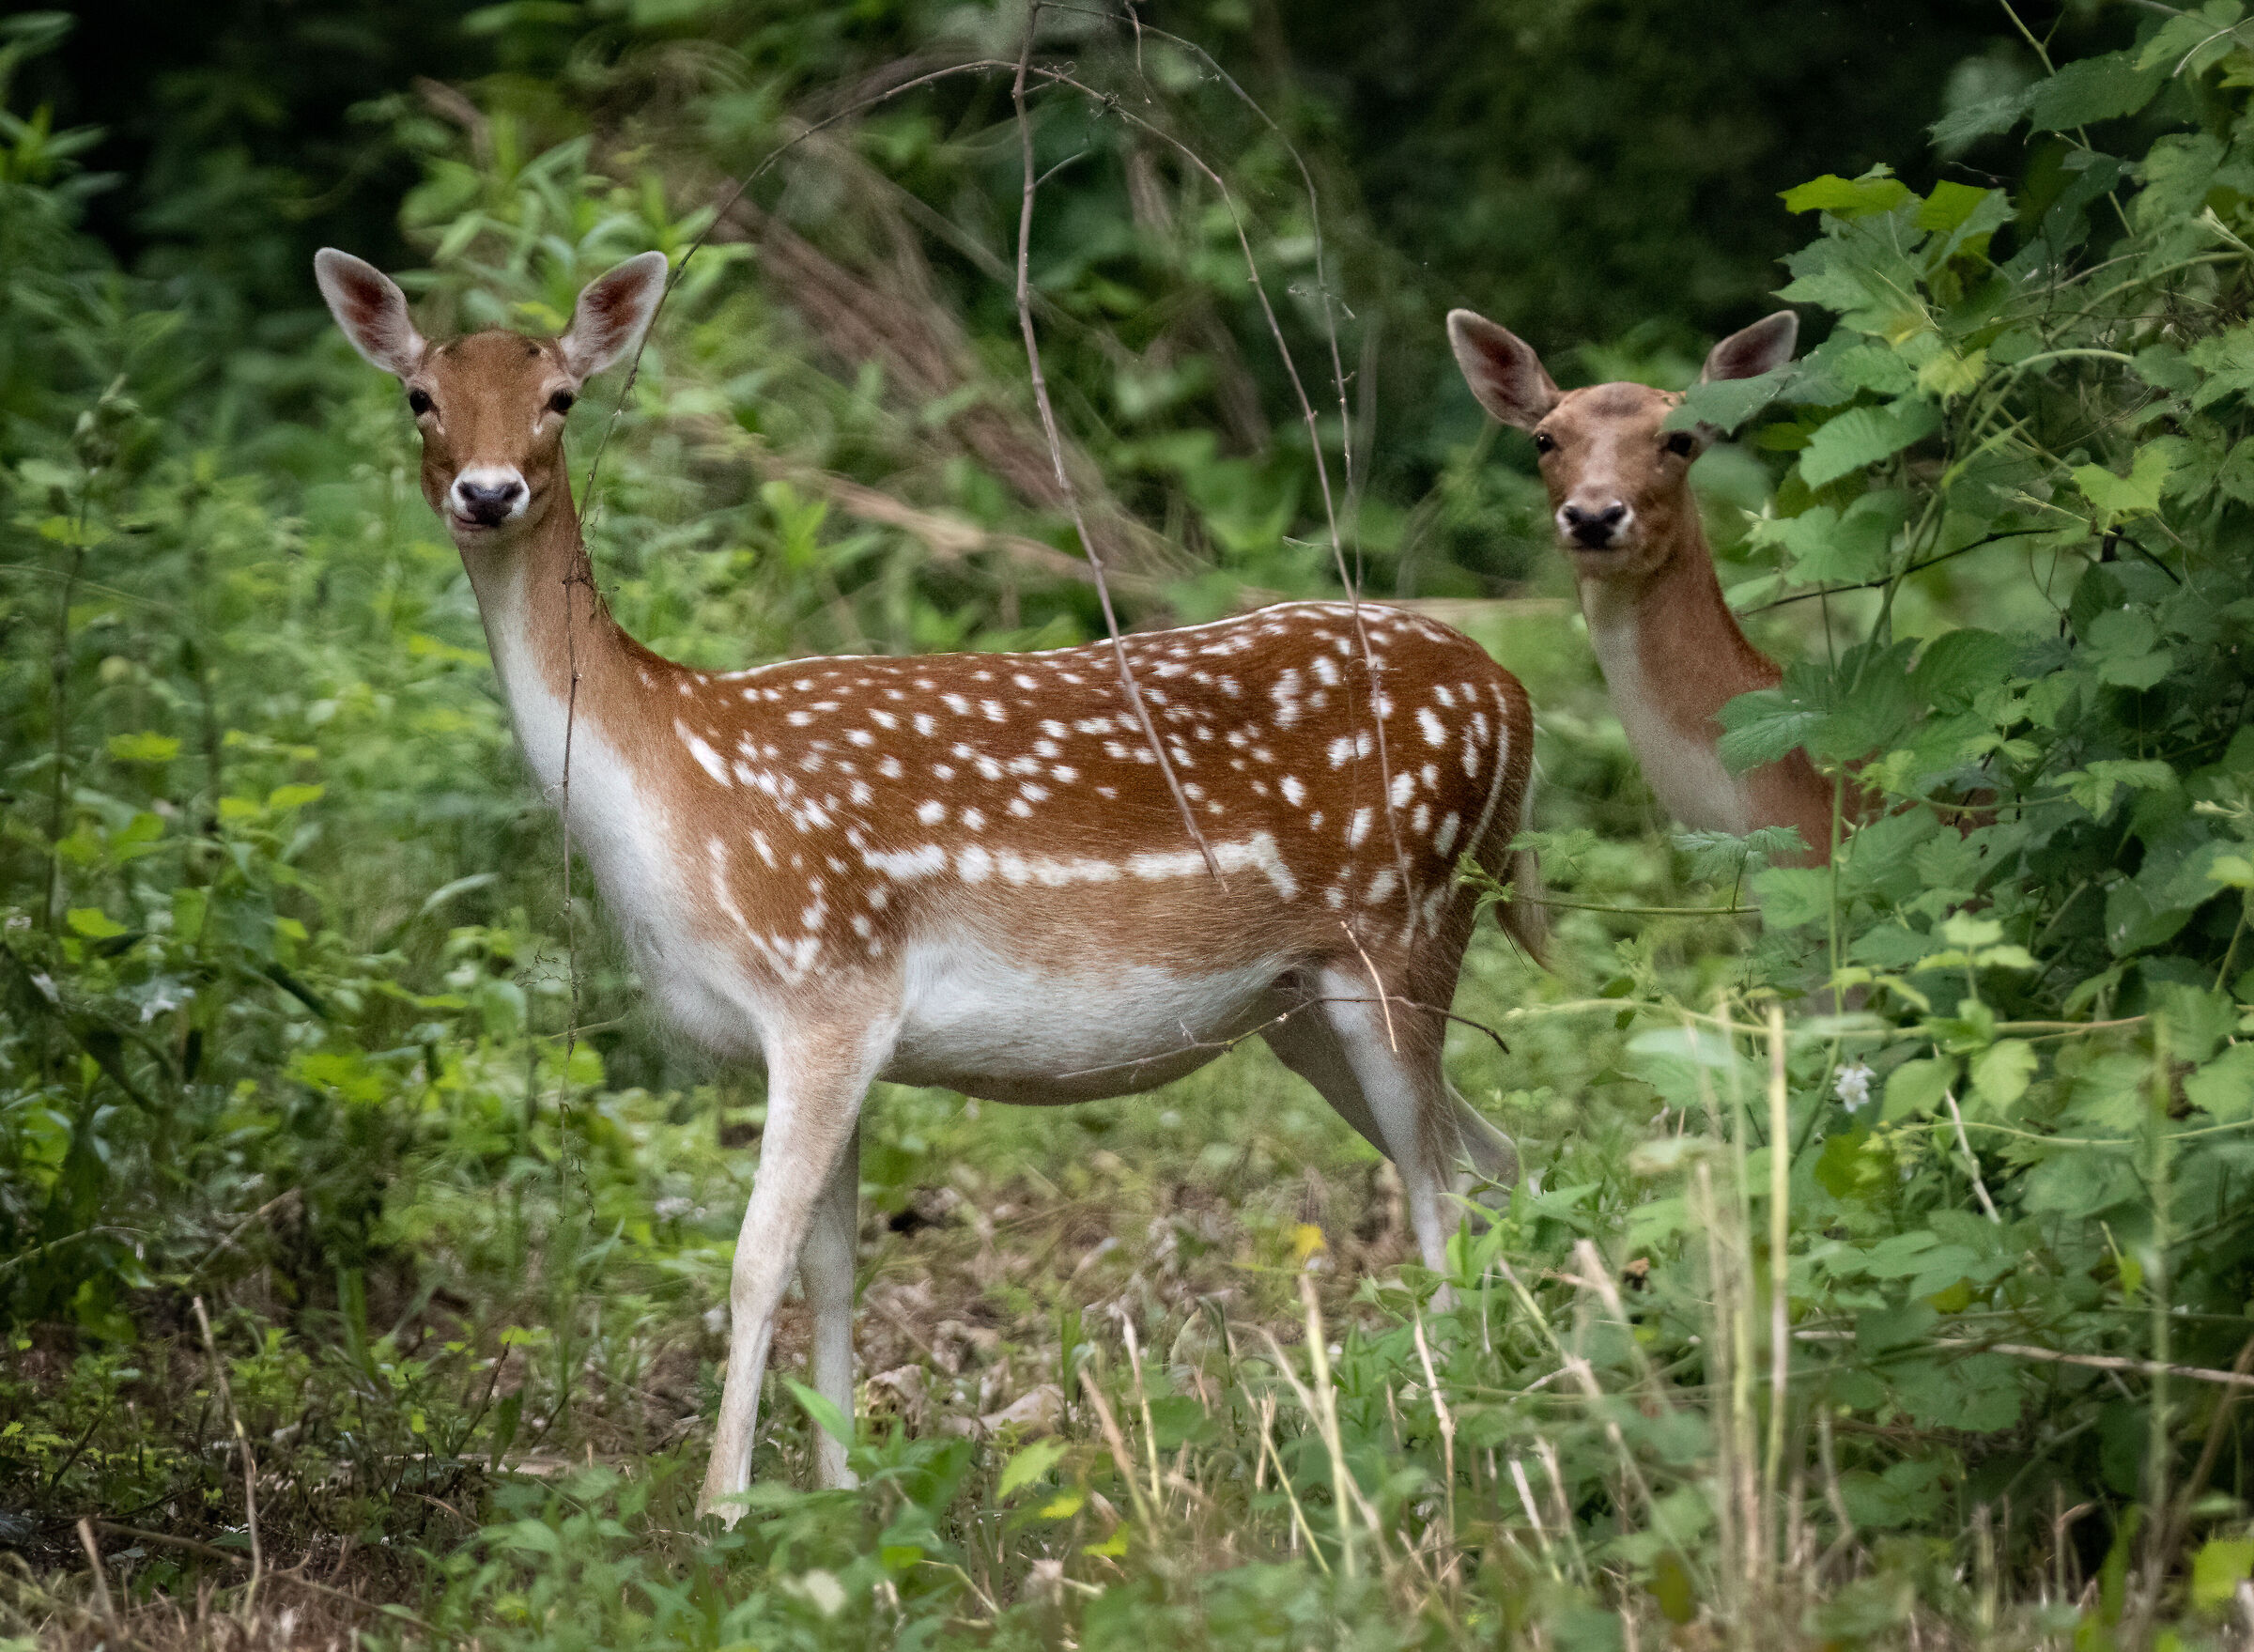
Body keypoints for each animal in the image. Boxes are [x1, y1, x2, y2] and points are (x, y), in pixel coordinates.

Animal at [316, 247, 1542, 1522]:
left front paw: (723, 1510)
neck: (671, 790)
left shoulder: (825, 985)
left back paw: (1449, 1425)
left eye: (560, 397)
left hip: (1408, 925)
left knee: (1439, 1187)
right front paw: (841, 1492)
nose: (489, 491)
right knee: (1493, 1154)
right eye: (420, 396)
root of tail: (1515, 696)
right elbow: (833, 1266)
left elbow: (754, 1261)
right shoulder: (837, 1028)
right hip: (1300, 1006)